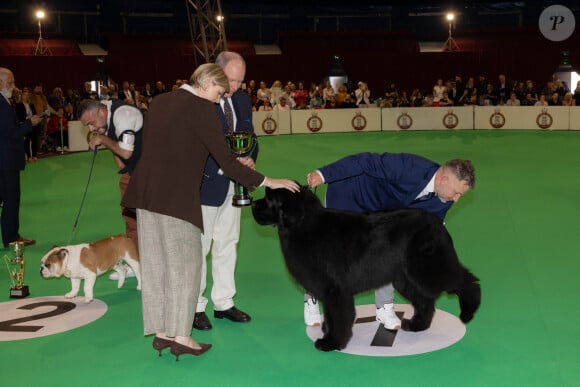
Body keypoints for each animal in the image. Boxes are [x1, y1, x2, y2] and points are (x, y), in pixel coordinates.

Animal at [251, 186, 482, 354]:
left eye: (268, 199)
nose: (252, 203)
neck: (302, 225)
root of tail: (436, 221)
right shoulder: (328, 291)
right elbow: (331, 316)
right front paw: (327, 334)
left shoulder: (335, 290)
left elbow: (339, 317)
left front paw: (332, 342)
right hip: (406, 276)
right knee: (424, 301)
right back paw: (416, 324)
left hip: (427, 268)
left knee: (464, 280)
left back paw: (468, 310)